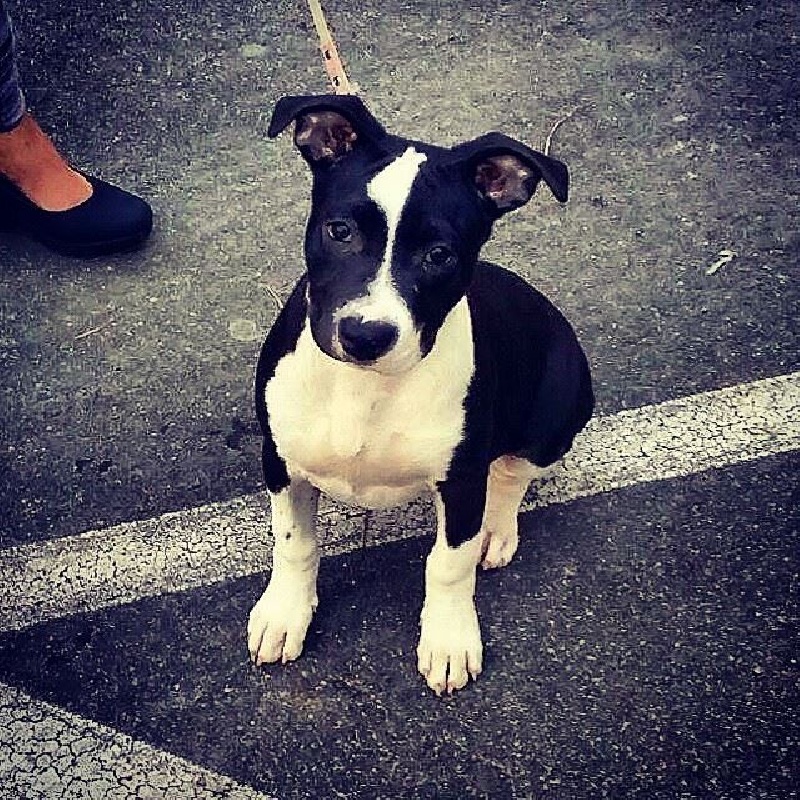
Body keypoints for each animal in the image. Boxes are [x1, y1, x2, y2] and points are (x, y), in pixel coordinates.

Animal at [247, 94, 594, 694]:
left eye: (439, 255)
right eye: (339, 230)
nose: (365, 335)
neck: (365, 385)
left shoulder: (461, 481)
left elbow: (449, 564)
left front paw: (449, 639)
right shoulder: (281, 459)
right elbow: (295, 541)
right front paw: (285, 613)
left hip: (558, 410)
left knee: (512, 474)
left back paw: (495, 531)